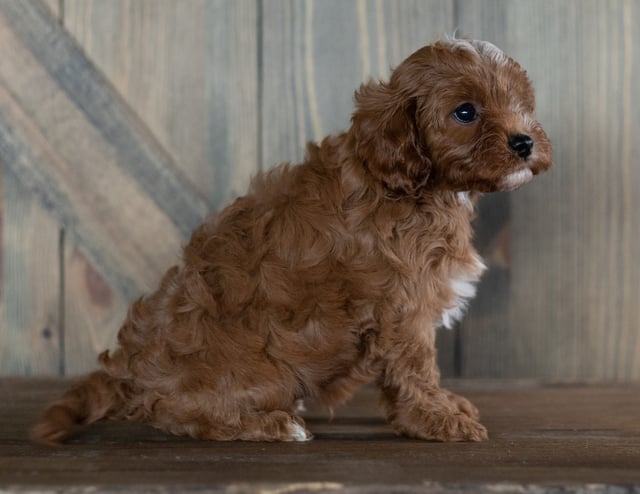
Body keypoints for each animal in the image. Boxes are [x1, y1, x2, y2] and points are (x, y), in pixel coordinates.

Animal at [32, 36, 552, 442]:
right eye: (465, 112)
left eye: (522, 105)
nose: (524, 142)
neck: (414, 185)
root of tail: (128, 368)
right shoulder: (404, 309)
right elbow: (416, 369)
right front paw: (438, 420)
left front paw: (446, 408)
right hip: (256, 375)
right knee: (179, 416)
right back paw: (275, 424)